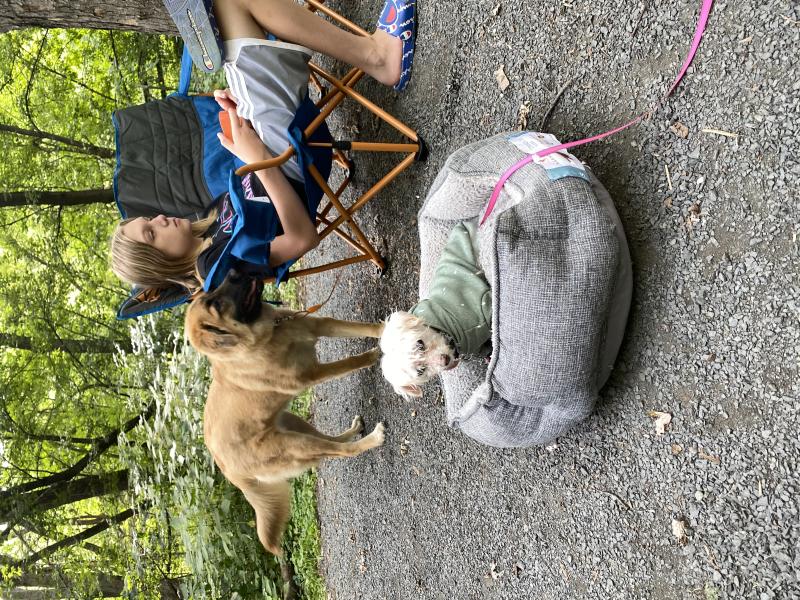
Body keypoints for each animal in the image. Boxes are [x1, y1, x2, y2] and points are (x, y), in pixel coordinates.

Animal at [185, 269, 385, 555]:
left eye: (211, 292)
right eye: (216, 304)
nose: (234, 270)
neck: (267, 336)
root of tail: (229, 471)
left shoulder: (318, 324)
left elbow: (363, 328)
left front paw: (386, 329)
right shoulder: (313, 373)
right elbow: (351, 362)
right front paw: (376, 352)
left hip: (293, 423)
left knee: (329, 441)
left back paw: (353, 431)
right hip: (292, 443)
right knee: (339, 451)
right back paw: (372, 439)